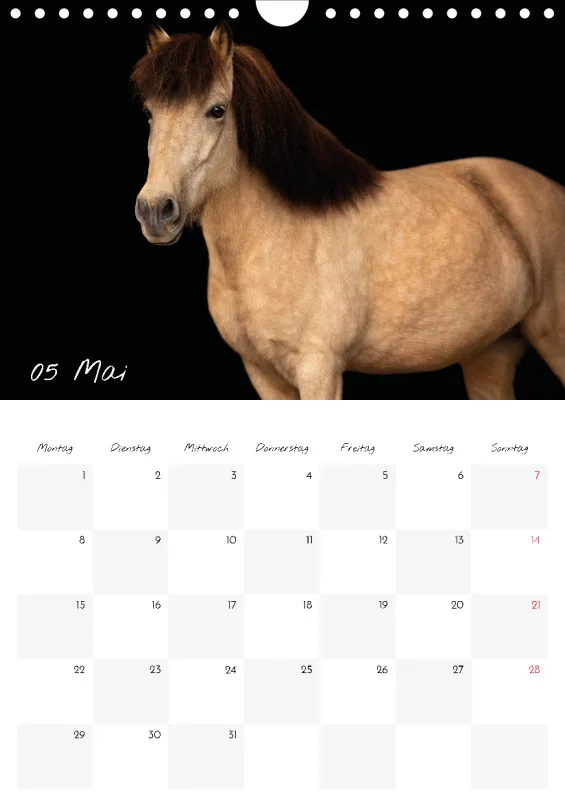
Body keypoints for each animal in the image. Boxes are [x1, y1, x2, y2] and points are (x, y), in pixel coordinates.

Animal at [132, 23, 565, 399]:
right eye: (151, 114)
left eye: (217, 110)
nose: (155, 210)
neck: (279, 238)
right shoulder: (263, 374)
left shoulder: (319, 370)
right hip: (489, 354)